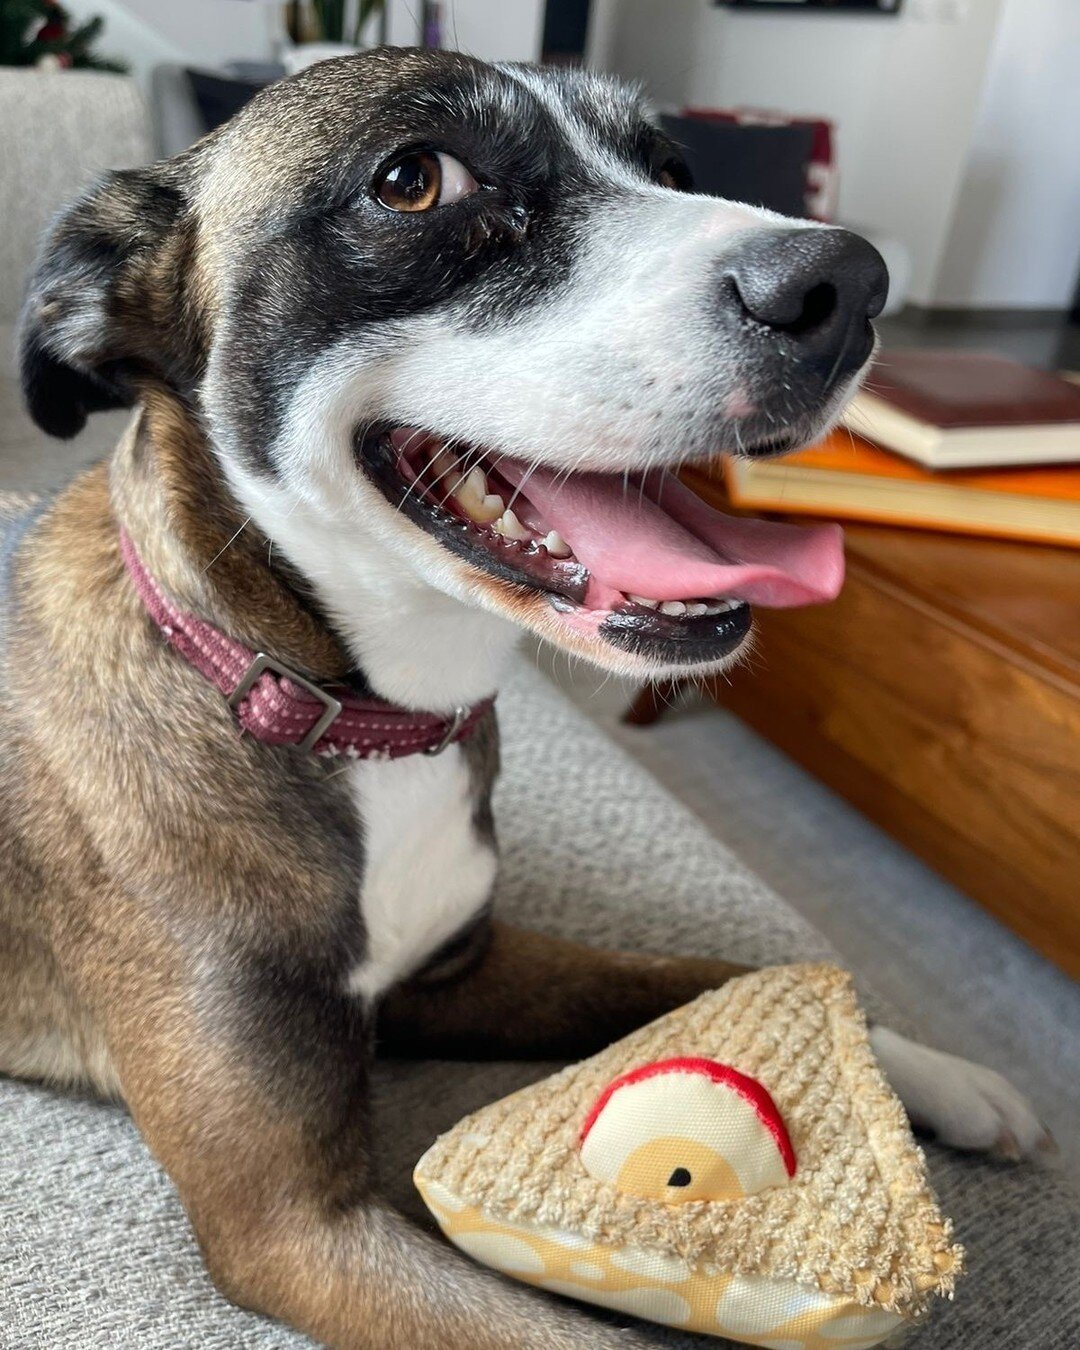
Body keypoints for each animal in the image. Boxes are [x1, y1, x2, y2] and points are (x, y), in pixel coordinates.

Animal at [0, 47, 1047, 1350]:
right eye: (414, 180)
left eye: (670, 168)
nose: (847, 282)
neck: (354, 719)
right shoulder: (296, 1228)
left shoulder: (465, 975)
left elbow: (705, 973)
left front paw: (933, 1072)